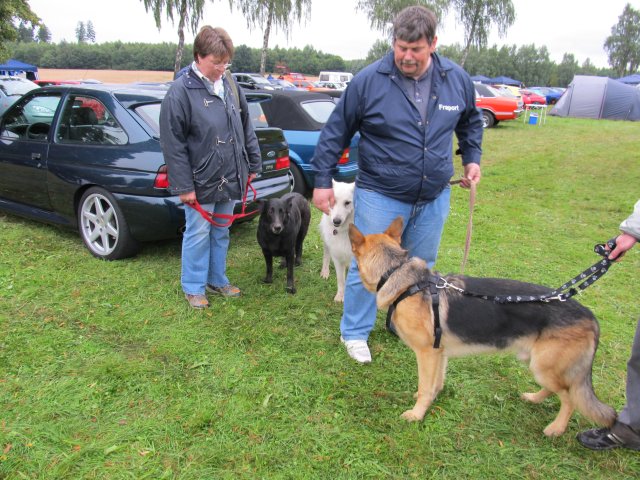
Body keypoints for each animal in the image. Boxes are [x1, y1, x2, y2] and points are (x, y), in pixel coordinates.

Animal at [348, 219, 616, 436]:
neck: (400, 277)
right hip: (540, 365)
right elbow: (435, 382)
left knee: (570, 397)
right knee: (557, 390)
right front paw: (432, 399)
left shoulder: (426, 353)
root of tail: (590, 316)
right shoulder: (439, 352)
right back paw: (534, 398)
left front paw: (417, 414)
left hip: (544, 367)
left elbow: (425, 386)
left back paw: (556, 429)